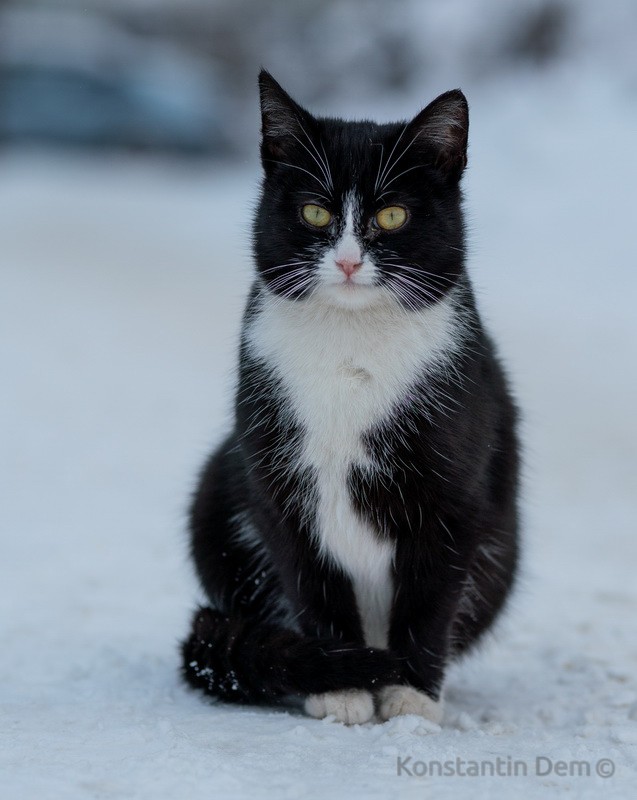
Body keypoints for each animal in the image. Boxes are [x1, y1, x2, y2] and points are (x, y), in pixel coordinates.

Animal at [181, 70, 520, 724]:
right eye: (315, 211)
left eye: (391, 215)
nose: (345, 261)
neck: (350, 346)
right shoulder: (277, 482)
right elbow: (312, 580)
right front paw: (340, 688)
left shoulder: (455, 493)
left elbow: (431, 597)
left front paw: (411, 696)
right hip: (216, 490)